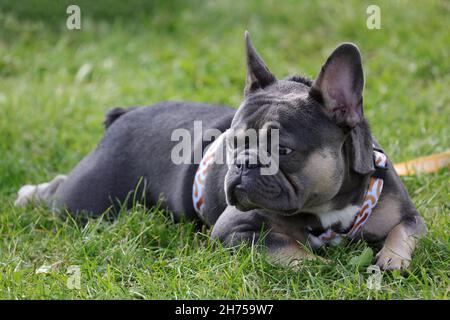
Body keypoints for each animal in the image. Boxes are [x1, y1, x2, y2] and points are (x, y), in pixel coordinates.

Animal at [16, 31, 426, 270]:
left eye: (284, 150)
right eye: (234, 142)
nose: (244, 165)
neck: (328, 207)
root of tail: (125, 115)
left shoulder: (408, 215)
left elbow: (403, 232)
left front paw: (391, 259)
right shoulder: (236, 231)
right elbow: (299, 255)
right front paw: (323, 266)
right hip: (88, 201)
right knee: (59, 193)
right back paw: (28, 194)